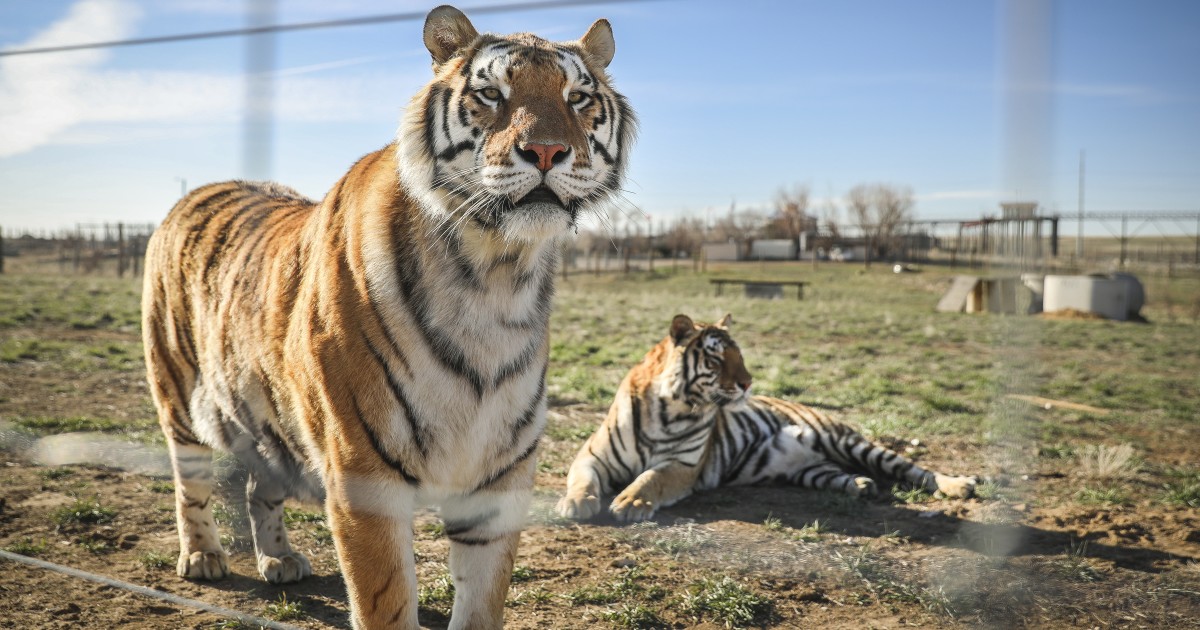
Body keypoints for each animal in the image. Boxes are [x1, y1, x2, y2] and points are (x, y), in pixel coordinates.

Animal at [142, 6, 638, 628]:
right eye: (491, 93)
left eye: (577, 97)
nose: (547, 152)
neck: (496, 273)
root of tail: (197, 191)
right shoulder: (363, 476)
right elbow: (386, 603)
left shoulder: (499, 478)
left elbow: (482, 603)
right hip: (176, 393)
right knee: (189, 481)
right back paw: (203, 557)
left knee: (262, 486)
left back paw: (279, 559)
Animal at [554, 312, 974, 520]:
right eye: (717, 358)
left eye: (739, 355)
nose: (748, 383)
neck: (668, 408)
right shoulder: (592, 456)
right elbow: (582, 479)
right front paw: (575, 503)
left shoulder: (684, 466)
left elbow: (650, 478)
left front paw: (630, 503)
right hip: (811, 468)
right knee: (839, 474)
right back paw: (861, 486)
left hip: (847, 440)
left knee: (914, 469)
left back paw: (959, 485)